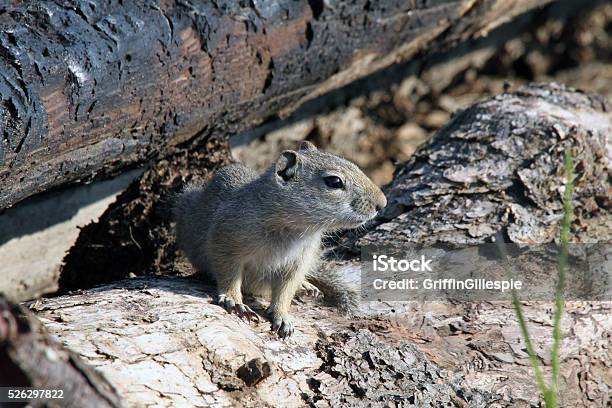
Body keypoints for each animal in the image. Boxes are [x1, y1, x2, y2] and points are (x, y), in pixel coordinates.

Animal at [172, 141, 384, 338]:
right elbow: (228, 274)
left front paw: (282, 315)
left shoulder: (298, 262)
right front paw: (234, 300)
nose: (382, 203)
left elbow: (285, 290)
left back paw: (305, 286)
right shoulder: (225, 239)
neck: (292, 229)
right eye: (334, 181)